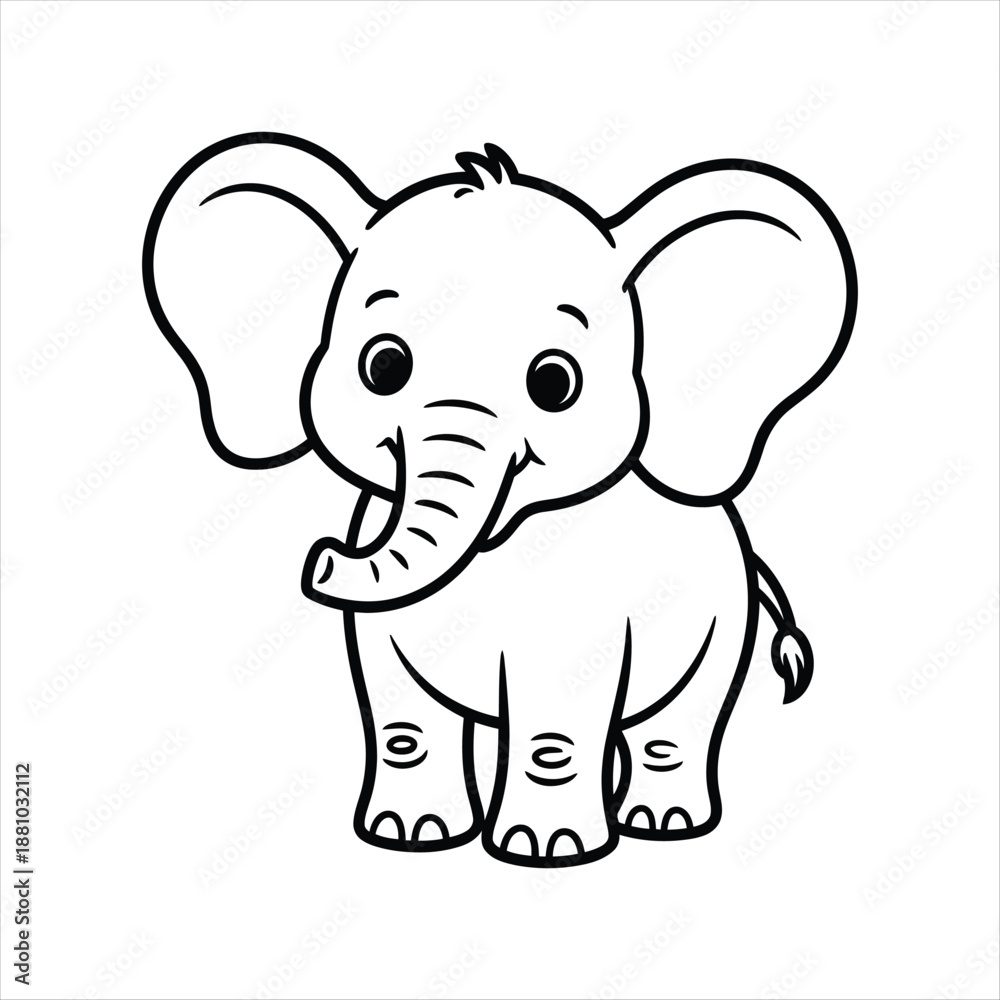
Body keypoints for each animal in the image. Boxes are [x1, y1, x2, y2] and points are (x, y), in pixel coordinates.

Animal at [143, 135, 856, 867]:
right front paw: (408, 835)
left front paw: (546, 850)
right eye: (383, 367)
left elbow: (557, 716)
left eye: (555, 383)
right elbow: (399, 715)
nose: (322, 557)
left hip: (725, 622)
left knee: (680, 721)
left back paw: (667, 823)